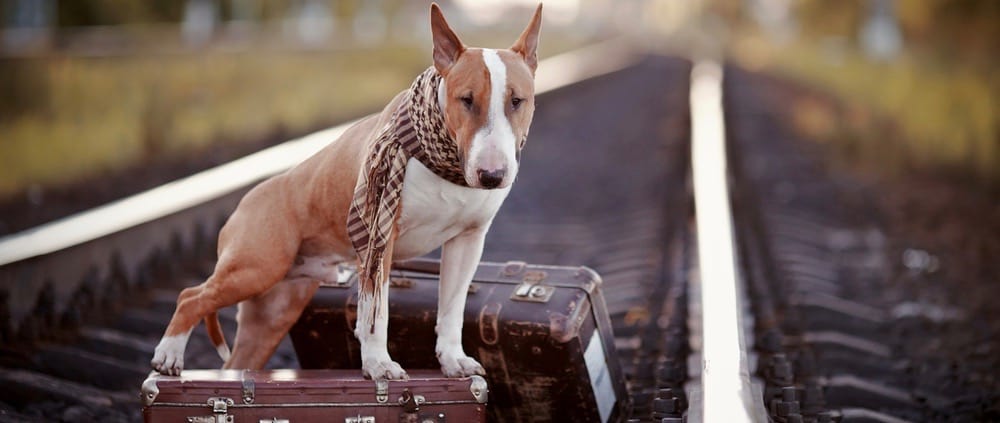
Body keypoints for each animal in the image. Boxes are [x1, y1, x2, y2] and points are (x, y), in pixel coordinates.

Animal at [152, 3, 544, 380]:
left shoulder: (468, 241)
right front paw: (379, 365)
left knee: (235, 354)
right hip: (257, 265)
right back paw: (168, 356)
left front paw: (453, 360)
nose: (491, 176)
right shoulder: (380, 237)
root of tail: (244, 202)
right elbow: (376, 313)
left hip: (272, 310)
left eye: (517, 101)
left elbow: (451, 308)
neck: (447, 166)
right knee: (191, 296)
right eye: (466, 99)